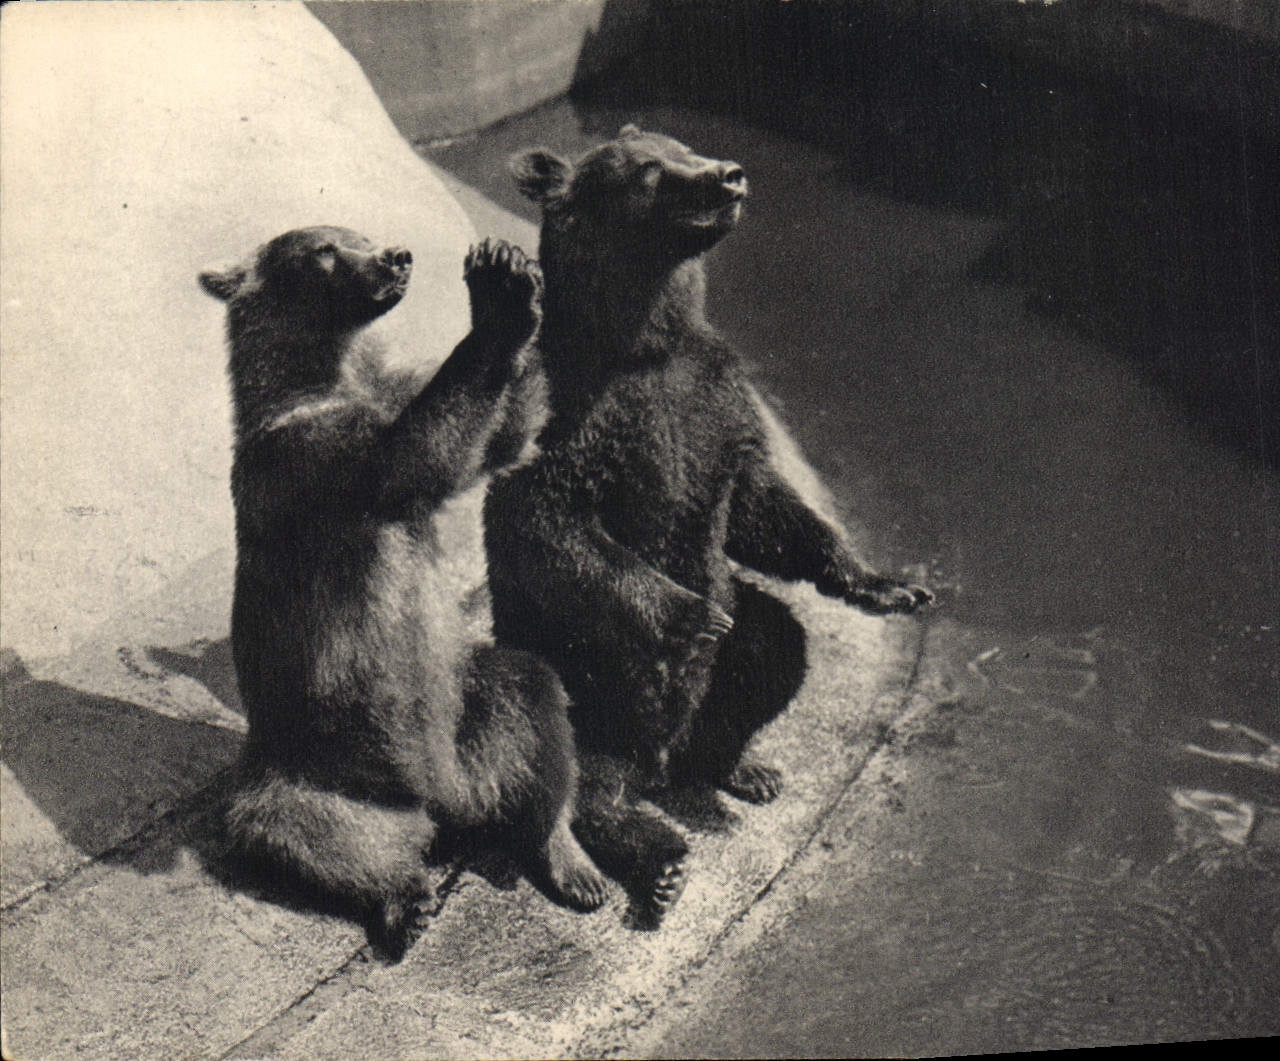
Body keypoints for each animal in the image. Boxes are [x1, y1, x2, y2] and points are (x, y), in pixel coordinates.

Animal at [198, 226, 607, 958]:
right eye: (326, 248)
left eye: (358, 232)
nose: (396, 256)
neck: (330, 372)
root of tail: (440, 804)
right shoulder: (303, 452)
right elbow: (407, 458)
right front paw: (499, 298)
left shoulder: (388, 389)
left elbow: (498, 440)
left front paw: (529, 271)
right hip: (314, 764)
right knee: (291, 827)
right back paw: (401, 899)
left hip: (465, 711)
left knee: (535, 699)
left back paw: (566, 857)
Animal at [484, 126, 934, 920]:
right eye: (649, 169)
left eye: (683, 144)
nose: (729, 174)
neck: (642, 342)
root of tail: (653, 763)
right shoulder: (573, 412)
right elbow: (548, 521)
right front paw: (686, 613)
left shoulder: (713, 399)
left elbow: (762, 503)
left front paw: (886, 583)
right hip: (578, 673)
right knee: (566, 761)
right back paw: (651, 856)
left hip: (721, 655)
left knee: (773, 645)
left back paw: (742, 766)